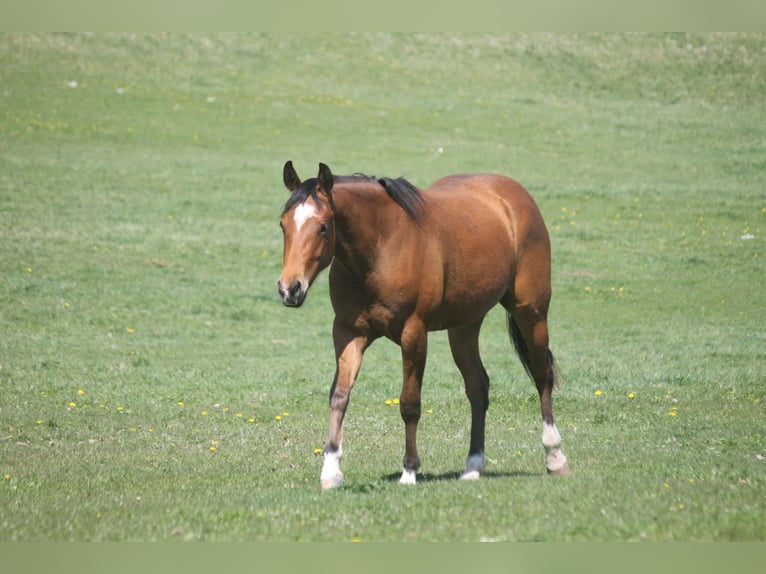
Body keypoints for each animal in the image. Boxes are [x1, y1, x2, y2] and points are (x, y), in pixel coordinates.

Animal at [277, 161, 570, 489]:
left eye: (323, 227)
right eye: (283, 225)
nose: (290, 289)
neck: (382, 247)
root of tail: (514, 196)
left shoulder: (413, 334)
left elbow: (409, 403)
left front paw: (409, 470)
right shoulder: (348, 333)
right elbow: (339, 397)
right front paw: (330, 470)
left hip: (531, 311)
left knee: (542, 375)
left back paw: (555, 456)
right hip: (465, 326)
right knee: (478, 387)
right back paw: (473, 466)